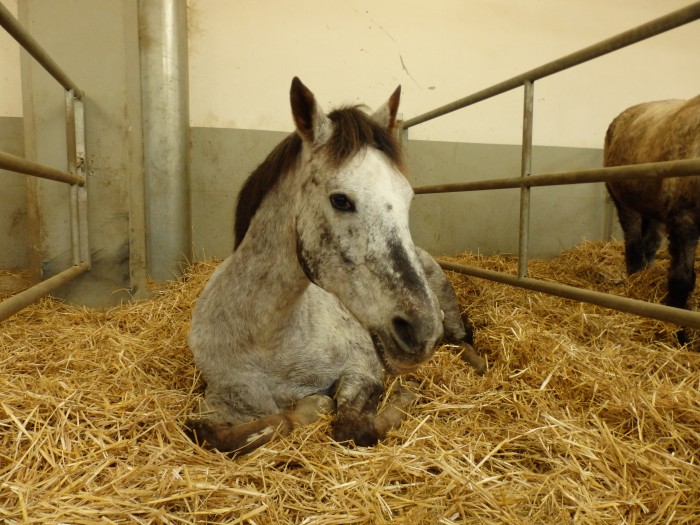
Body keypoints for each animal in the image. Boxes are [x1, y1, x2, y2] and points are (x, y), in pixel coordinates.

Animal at [185, 78, 486, 454]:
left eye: (408, 197)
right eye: (340, 200)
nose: (422, 330)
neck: (264, 342)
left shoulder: (361, 370)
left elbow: (352, 428)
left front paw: (401, 397)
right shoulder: (217, 403)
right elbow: (217, 433)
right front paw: (309, 407)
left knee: (462, 341)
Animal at [608, 94, 700, 344]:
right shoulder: (685, 221)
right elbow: (681, 278)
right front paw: (680, 333)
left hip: (654, 214)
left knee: (649, 246)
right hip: (626, 206)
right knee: (634, 246)